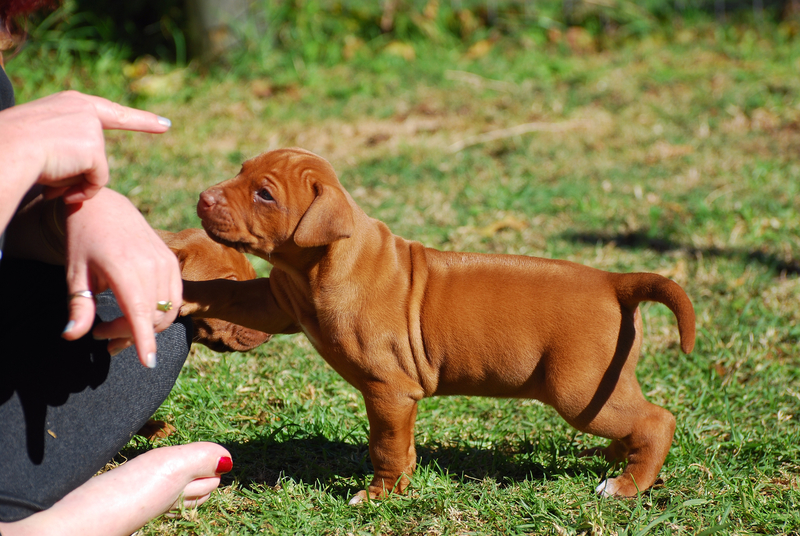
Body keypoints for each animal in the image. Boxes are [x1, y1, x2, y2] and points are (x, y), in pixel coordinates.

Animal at [181, 148, 692, 502]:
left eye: (264, 194)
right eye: (241, 170)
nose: (202, 198)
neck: (320, 266)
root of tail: (614, 282)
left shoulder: (388, 390)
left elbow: (386, 445)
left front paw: (380, 495)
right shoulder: (276, 302)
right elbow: (227, 294)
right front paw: (177, 283)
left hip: (577, 389)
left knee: (657, 421)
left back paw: (627, 485)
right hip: (601, 386)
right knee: (634, 423)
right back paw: (612, 459)